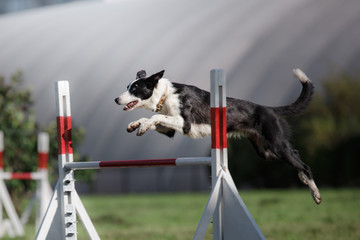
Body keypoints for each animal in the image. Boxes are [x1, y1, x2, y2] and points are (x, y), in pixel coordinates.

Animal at [114, 68, 320, 204]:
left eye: (135, 89)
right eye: (127, 87)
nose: (116, 99)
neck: (165, 94)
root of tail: (270, 109)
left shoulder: (185, 124)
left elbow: (155, 116)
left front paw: (142, 127)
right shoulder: (169, 129)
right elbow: (150, 117)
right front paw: (135, 125)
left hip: (275, 144)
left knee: (304, 164)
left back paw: (316, 194)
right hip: (265, 151)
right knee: (296, 154)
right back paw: (303, 179)